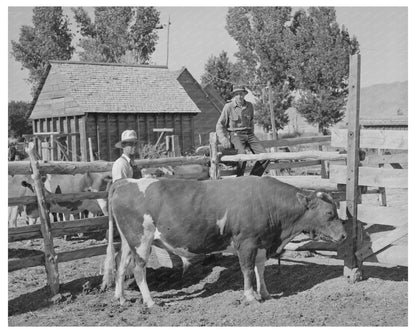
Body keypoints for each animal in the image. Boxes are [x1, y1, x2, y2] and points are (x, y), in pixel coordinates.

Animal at [101, 175, 348, 308]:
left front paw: (265, 293)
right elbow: (247, 270)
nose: (344, 235)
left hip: (128, 241)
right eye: (329, 213)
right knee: (138, 269)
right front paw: (250, 297)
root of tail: (126, 181)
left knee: (121, 266)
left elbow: (260, 269)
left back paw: (121, 298)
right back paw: (150, 302)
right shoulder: (246, 243)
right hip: (141, 240)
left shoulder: (261, 244)